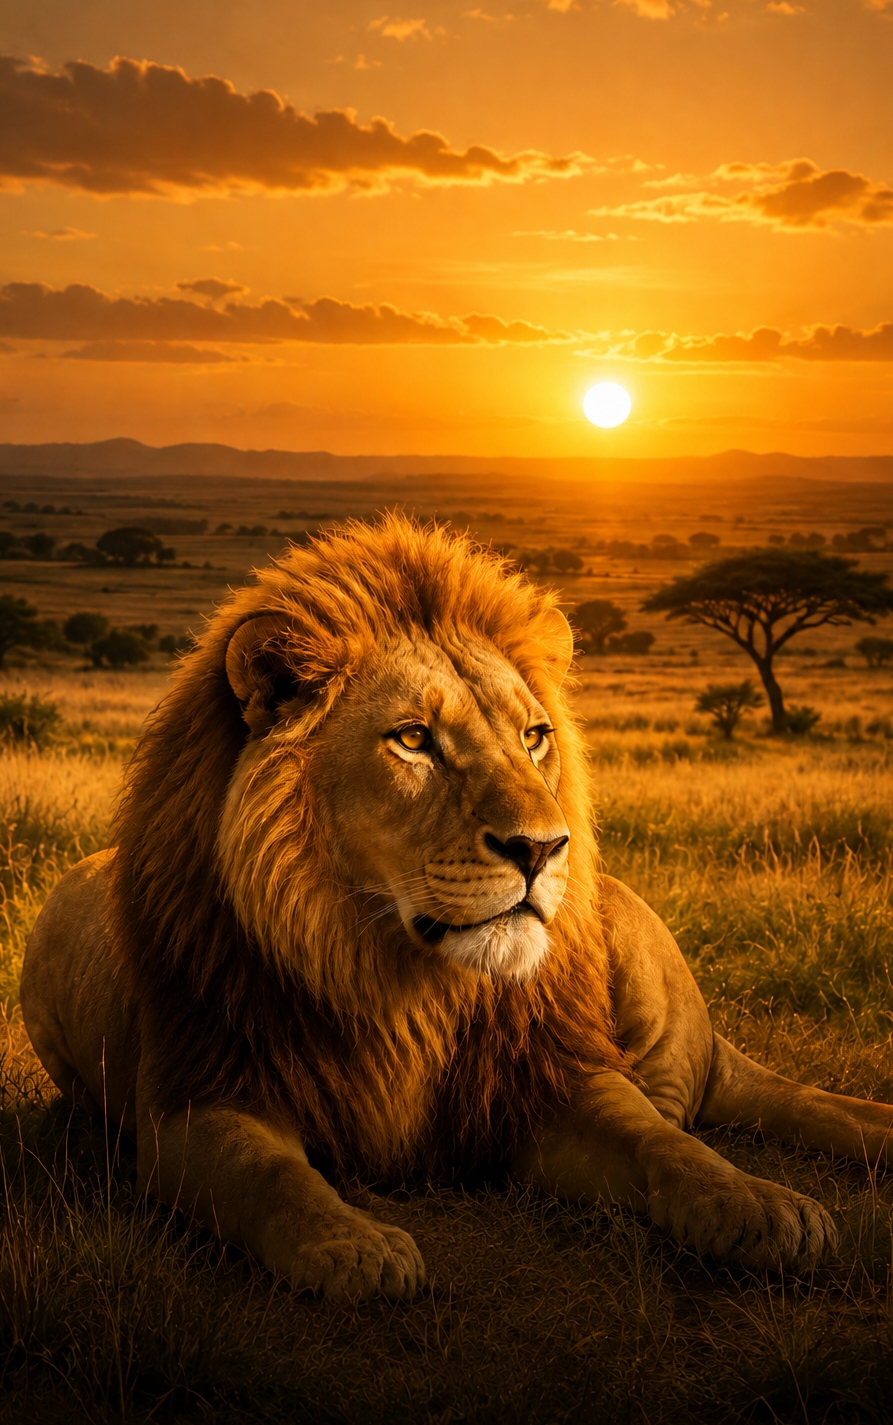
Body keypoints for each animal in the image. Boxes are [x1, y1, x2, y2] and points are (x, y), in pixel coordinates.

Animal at [20, 516, 893, 1301]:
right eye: (412, 739)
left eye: (534, 735)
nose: (542, 847)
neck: (402, 981)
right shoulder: (199, 1094)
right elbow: (269, 1177)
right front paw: (354, 1246)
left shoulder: (549, 1076)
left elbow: (664, 1146)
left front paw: (761, 1204)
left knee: (694, 1105)